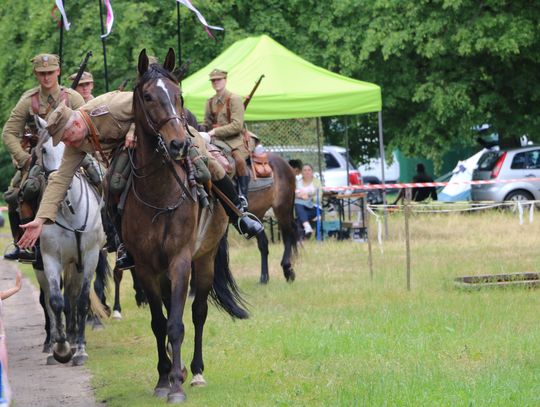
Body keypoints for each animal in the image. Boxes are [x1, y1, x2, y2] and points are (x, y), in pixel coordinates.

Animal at [32, 118, 105, 366]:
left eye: (68, 149)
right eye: (44, 149)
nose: (62, 188)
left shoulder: (90, 256)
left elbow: (81, 301)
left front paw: (80, 349)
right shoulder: (50, 258)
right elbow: (56, 301)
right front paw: (61, 348)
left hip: (77, 263)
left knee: (72, 297)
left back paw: (74, 338)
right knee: (48, 301)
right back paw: (53, 341)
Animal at [123, 49, 249, 404]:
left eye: (178, 95)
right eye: (148, 96)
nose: (179, 144)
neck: (158, 193)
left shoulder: (180, 261)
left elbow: (178, 323)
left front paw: (177, 386)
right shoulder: (146, 267)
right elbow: (159, 321)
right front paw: (164, 378)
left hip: (204, 260)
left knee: (198, 311)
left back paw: (196, 371)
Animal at [247, 155, 298, 286]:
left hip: (282, 209)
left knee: (289, 235)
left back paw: (287, 269)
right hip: (256, 215)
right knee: (263, 244)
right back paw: (264, 278)